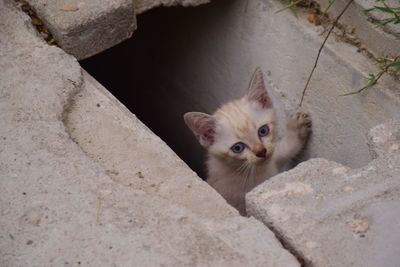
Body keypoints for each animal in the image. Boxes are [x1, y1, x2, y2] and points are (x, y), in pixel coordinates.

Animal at [184, 69, 312, 216]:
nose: (261, 152)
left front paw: (297, 128)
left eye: (263, 131)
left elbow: (284, 150)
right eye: (238, 148)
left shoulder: (272, 158)